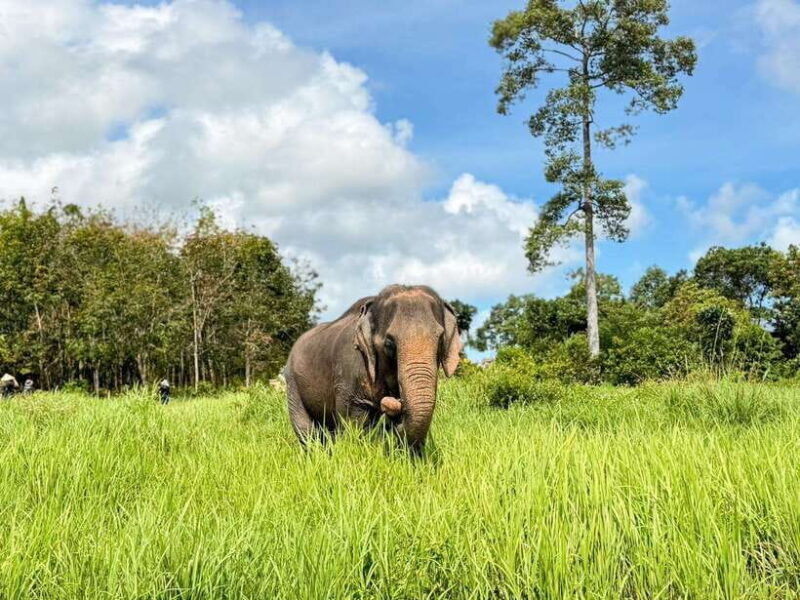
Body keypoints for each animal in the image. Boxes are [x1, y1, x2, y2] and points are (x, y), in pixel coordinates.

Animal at [284, 284, 462, 452]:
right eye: (389, 343)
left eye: (440, 340)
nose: (395, 402)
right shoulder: (350, 372)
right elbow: (353, 419)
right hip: (293, 383)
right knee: (306, 430)